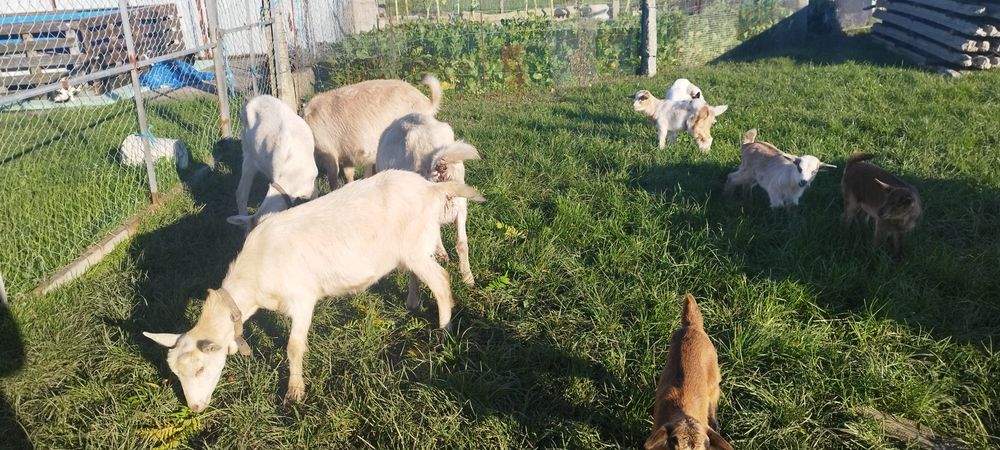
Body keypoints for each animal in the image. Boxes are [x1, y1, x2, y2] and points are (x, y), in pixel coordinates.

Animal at [144, 170, 485, 412]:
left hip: (417, 245)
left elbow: (294, 348)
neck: (255, 276)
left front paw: (294, 393)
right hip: (410, 248)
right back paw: (413, 302)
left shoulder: (302, 298)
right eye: (176, 373)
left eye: (201, 368)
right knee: (419, 274)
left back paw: (444, 332)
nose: (195, 408)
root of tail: (432, 188)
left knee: (441, 281)